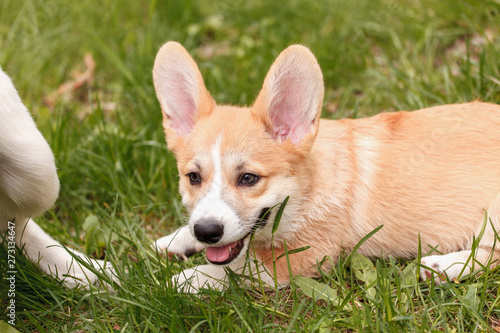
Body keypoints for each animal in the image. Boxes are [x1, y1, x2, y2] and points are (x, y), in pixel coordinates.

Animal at [152, 40, 500, 290]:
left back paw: (440, 267)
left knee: (491, 257)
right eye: (193, 177)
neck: (305, 191)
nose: (207, 232)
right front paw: (175, 239)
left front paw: (181, 279)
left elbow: (232, 270)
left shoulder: (302, 258)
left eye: (249, 178)